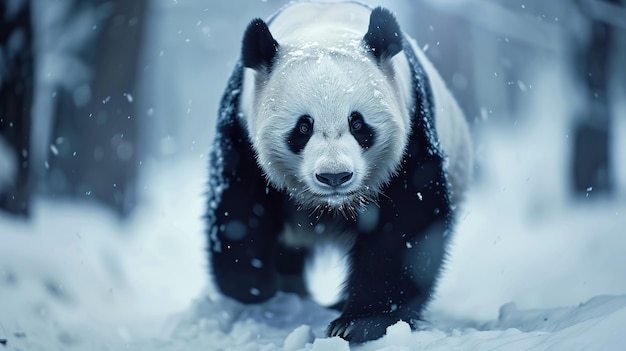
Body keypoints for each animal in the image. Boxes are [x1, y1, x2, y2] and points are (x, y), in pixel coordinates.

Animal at [207, 1, 470, 346]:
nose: (335, 176)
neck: (322, 27)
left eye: (357, 124)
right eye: (303, 127)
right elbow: (239, 209)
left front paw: (361, 321)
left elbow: (408, 222)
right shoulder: (240, 130)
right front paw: (254, 289)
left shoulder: (412, 130)